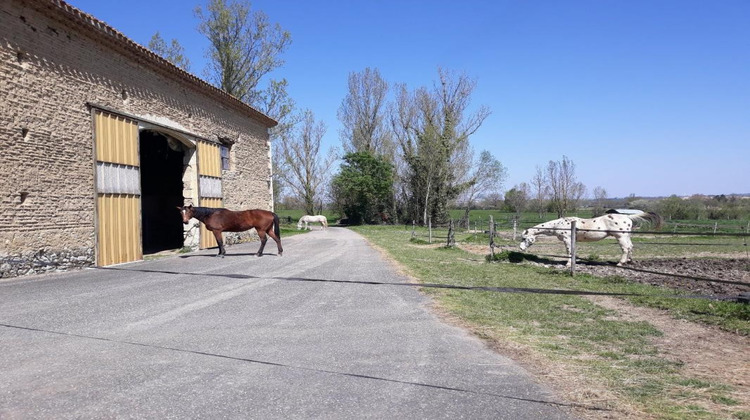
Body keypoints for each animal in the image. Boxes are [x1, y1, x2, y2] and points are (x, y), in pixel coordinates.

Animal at [524, 212, 664, 268]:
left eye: (524, 238)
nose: (521, 248)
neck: (559, 224)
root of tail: (628, 217)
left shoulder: (567, 239)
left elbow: (569, 252)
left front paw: (568, 264)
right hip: (626, 236)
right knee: (630, 247)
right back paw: (629, 261)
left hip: (621, 237)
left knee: (625, 248)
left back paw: (620, 263)